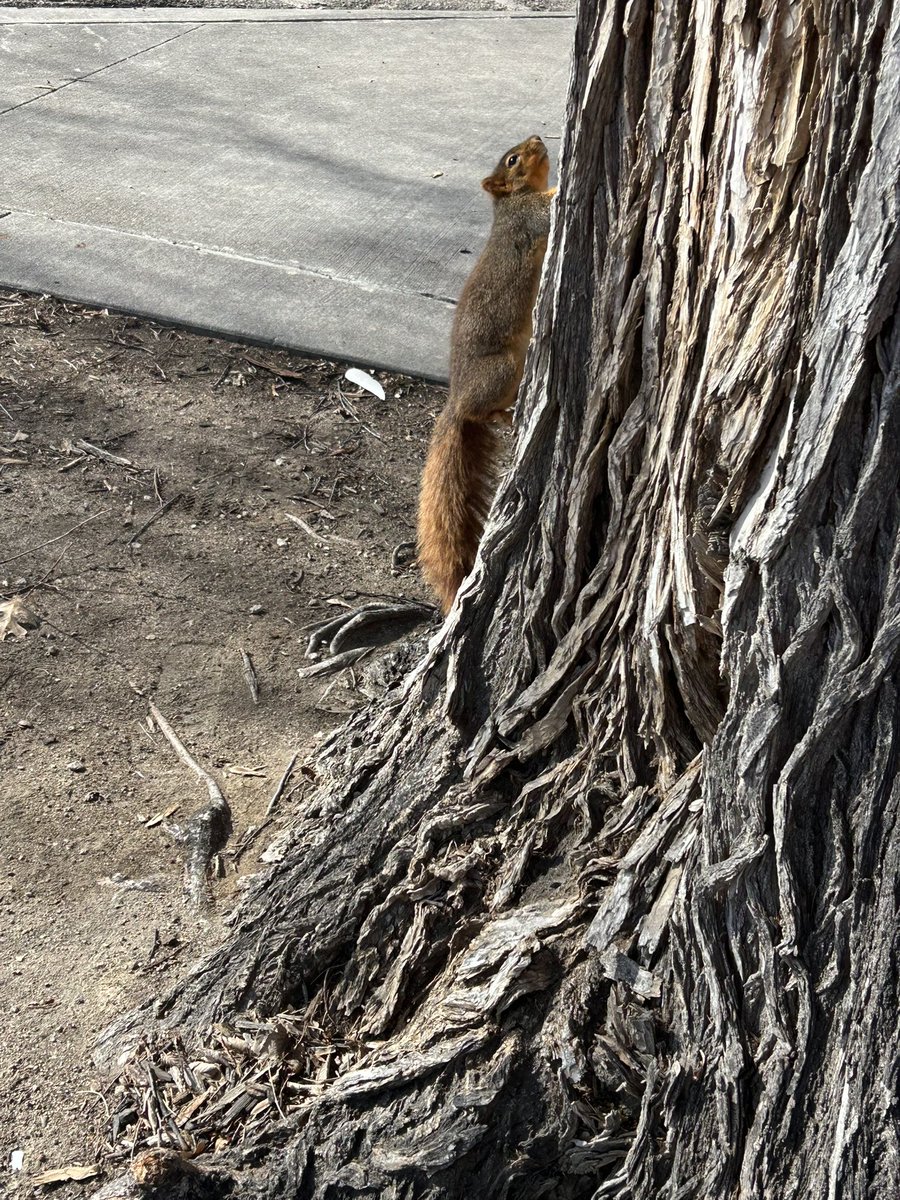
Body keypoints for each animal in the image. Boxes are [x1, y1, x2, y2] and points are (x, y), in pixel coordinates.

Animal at [417, 135, 556, 613]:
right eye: (513, 159)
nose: (538, 137)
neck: (510, 200)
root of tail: (456, 399)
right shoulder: (530, 217)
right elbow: (549, 210)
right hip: (504, 368)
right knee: (481, 412)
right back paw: (504, 415)